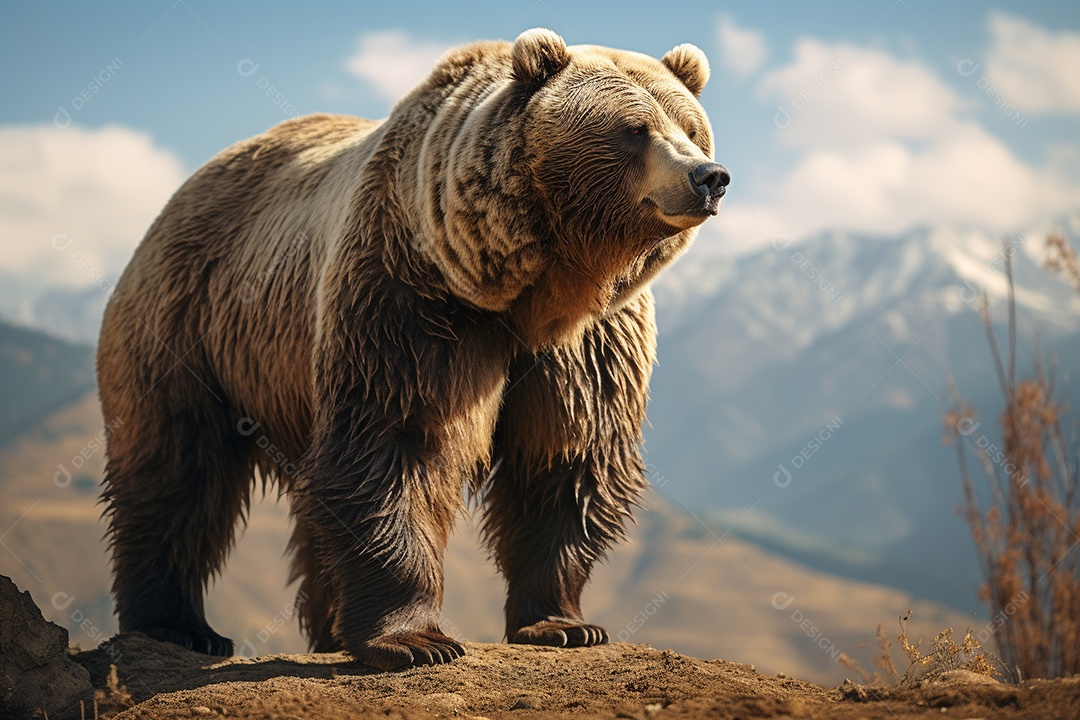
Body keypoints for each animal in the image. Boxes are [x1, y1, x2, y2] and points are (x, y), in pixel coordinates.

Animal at [96, 28, 727, 671]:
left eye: (691, 126)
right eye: (635, 127)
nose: (709, 176)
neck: (535, 287)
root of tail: (185, 189)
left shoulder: (588, 346)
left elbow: (564, 461)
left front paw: (564, 625)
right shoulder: (413, 298)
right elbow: (399, 441)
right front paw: (415, 640)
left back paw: (327, 630)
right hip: (193, 323)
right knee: (175, 463)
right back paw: (177, 626)